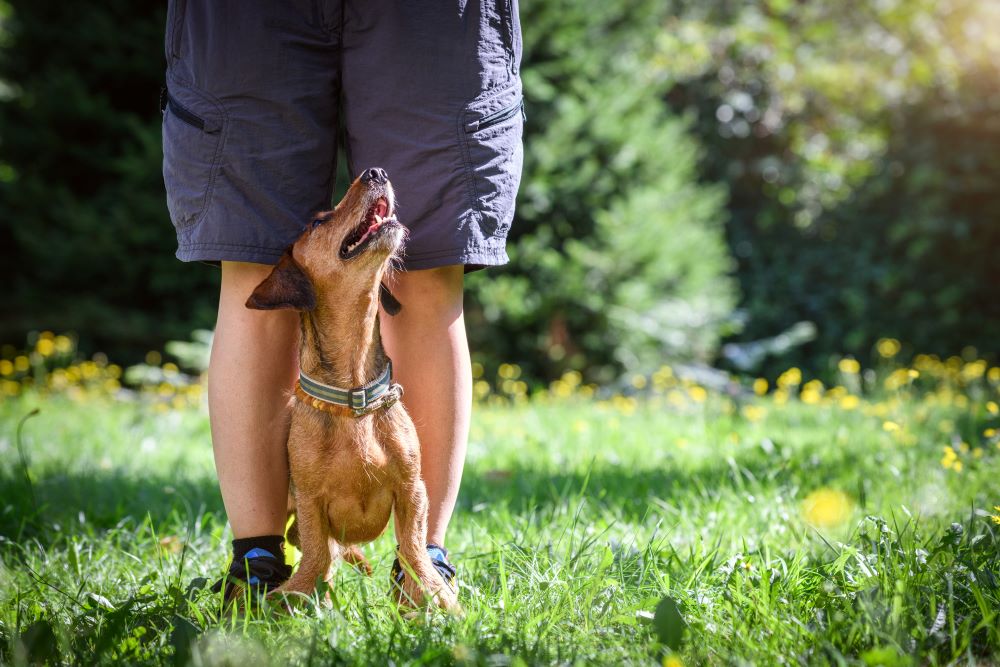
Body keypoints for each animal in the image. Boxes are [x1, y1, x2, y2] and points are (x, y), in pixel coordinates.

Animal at [246, 170, 458, 612]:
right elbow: (314, 553)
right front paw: (295, 598)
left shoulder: (412, 489)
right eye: (316, 223)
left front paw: (432, 594)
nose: (376, 172)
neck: (353, 397)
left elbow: (413, 546)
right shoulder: (309, 500)